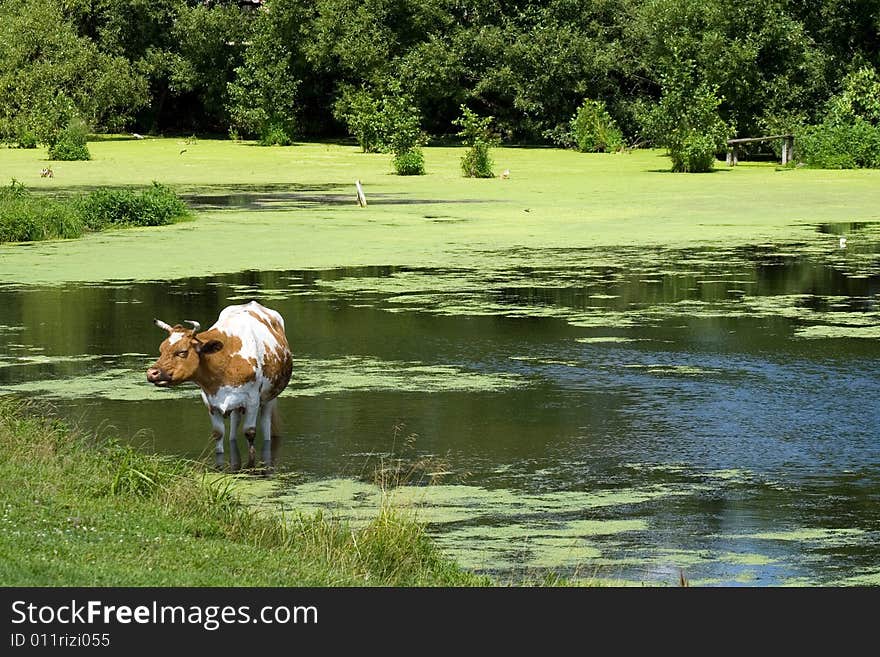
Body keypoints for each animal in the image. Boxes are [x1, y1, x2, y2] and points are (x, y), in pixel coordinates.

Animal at [146, 300, 294, 468]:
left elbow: (250, 432)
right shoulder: (210, 401)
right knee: (234, 426)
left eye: (182, 352)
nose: (152, 372)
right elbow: (218, 434)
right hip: (237, 404)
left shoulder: (252, 400)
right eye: (161, 349)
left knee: (265, 424)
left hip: (269, 397)